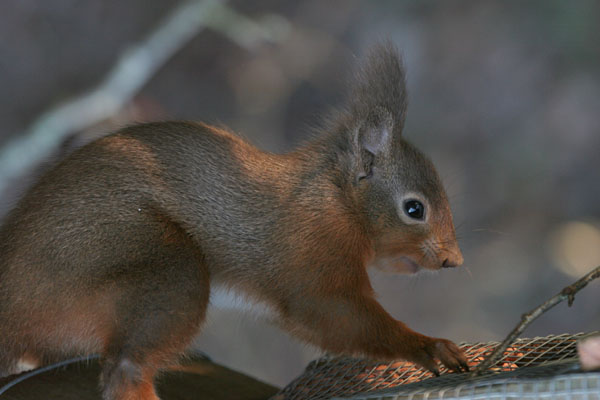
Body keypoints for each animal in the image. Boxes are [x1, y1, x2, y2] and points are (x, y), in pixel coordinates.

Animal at [0, 44, 468, 400]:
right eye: (414, 209)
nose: (453, 261)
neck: (335, 199)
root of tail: (11, 304)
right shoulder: (312, 253)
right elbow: (337, 314)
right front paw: (426, 346)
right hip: (158, 260)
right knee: (124, 369)